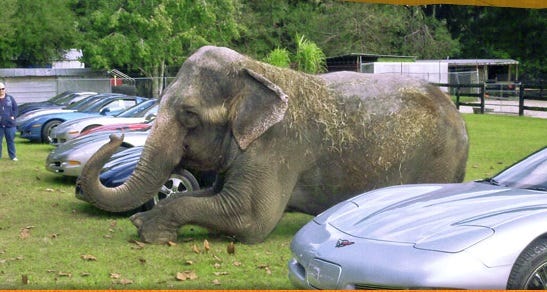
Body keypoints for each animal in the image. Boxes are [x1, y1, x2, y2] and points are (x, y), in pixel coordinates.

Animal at [78, 45, 470, 244]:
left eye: (189, 115)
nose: (114, 135)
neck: (257, 72)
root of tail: (457, 113)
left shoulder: (278, 146)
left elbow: (249, 217)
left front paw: (148, 228)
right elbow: (208, 196)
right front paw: (147, 220)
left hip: (438, 161)